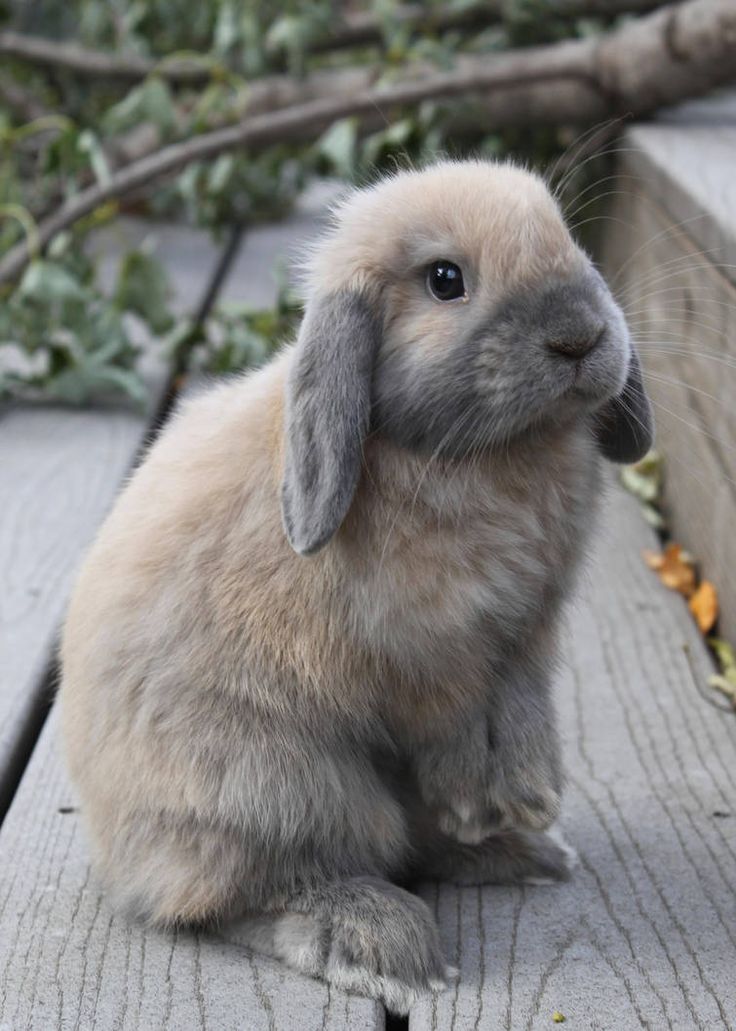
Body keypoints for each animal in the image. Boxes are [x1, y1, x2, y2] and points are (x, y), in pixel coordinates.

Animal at [60, 160, 651, 1014]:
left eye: (567, 237)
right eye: (445, 280)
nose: (580, 335)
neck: (481, 453)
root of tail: (115, 855)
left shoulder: (527, 633)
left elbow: (520, 705)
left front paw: (527, 797)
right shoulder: (427, 655)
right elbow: (457, 720)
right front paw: (489, 800)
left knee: (408, 848)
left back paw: (524, 851)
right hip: (281, 786)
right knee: (254, 890)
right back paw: (381, 939)